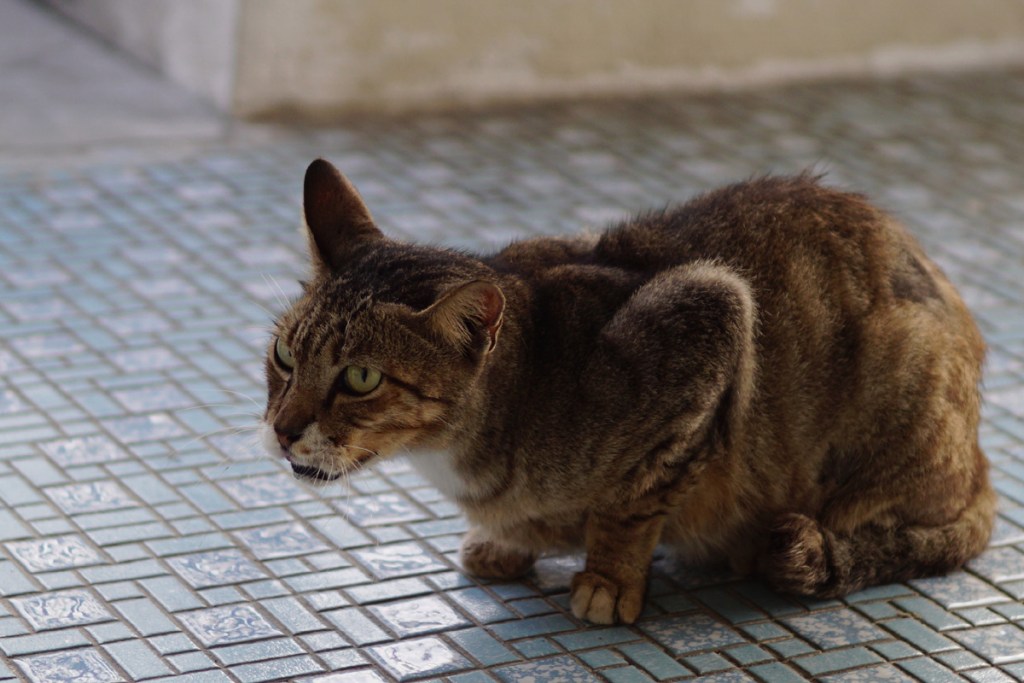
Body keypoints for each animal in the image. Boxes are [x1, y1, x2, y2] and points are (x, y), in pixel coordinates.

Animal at [260, 158, 995, 626]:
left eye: (360, 378)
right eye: (285, 356)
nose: (281, 428)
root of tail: (982, 461)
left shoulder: (713, 310)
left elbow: (634, 500)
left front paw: (610, 579)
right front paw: (507, 544)